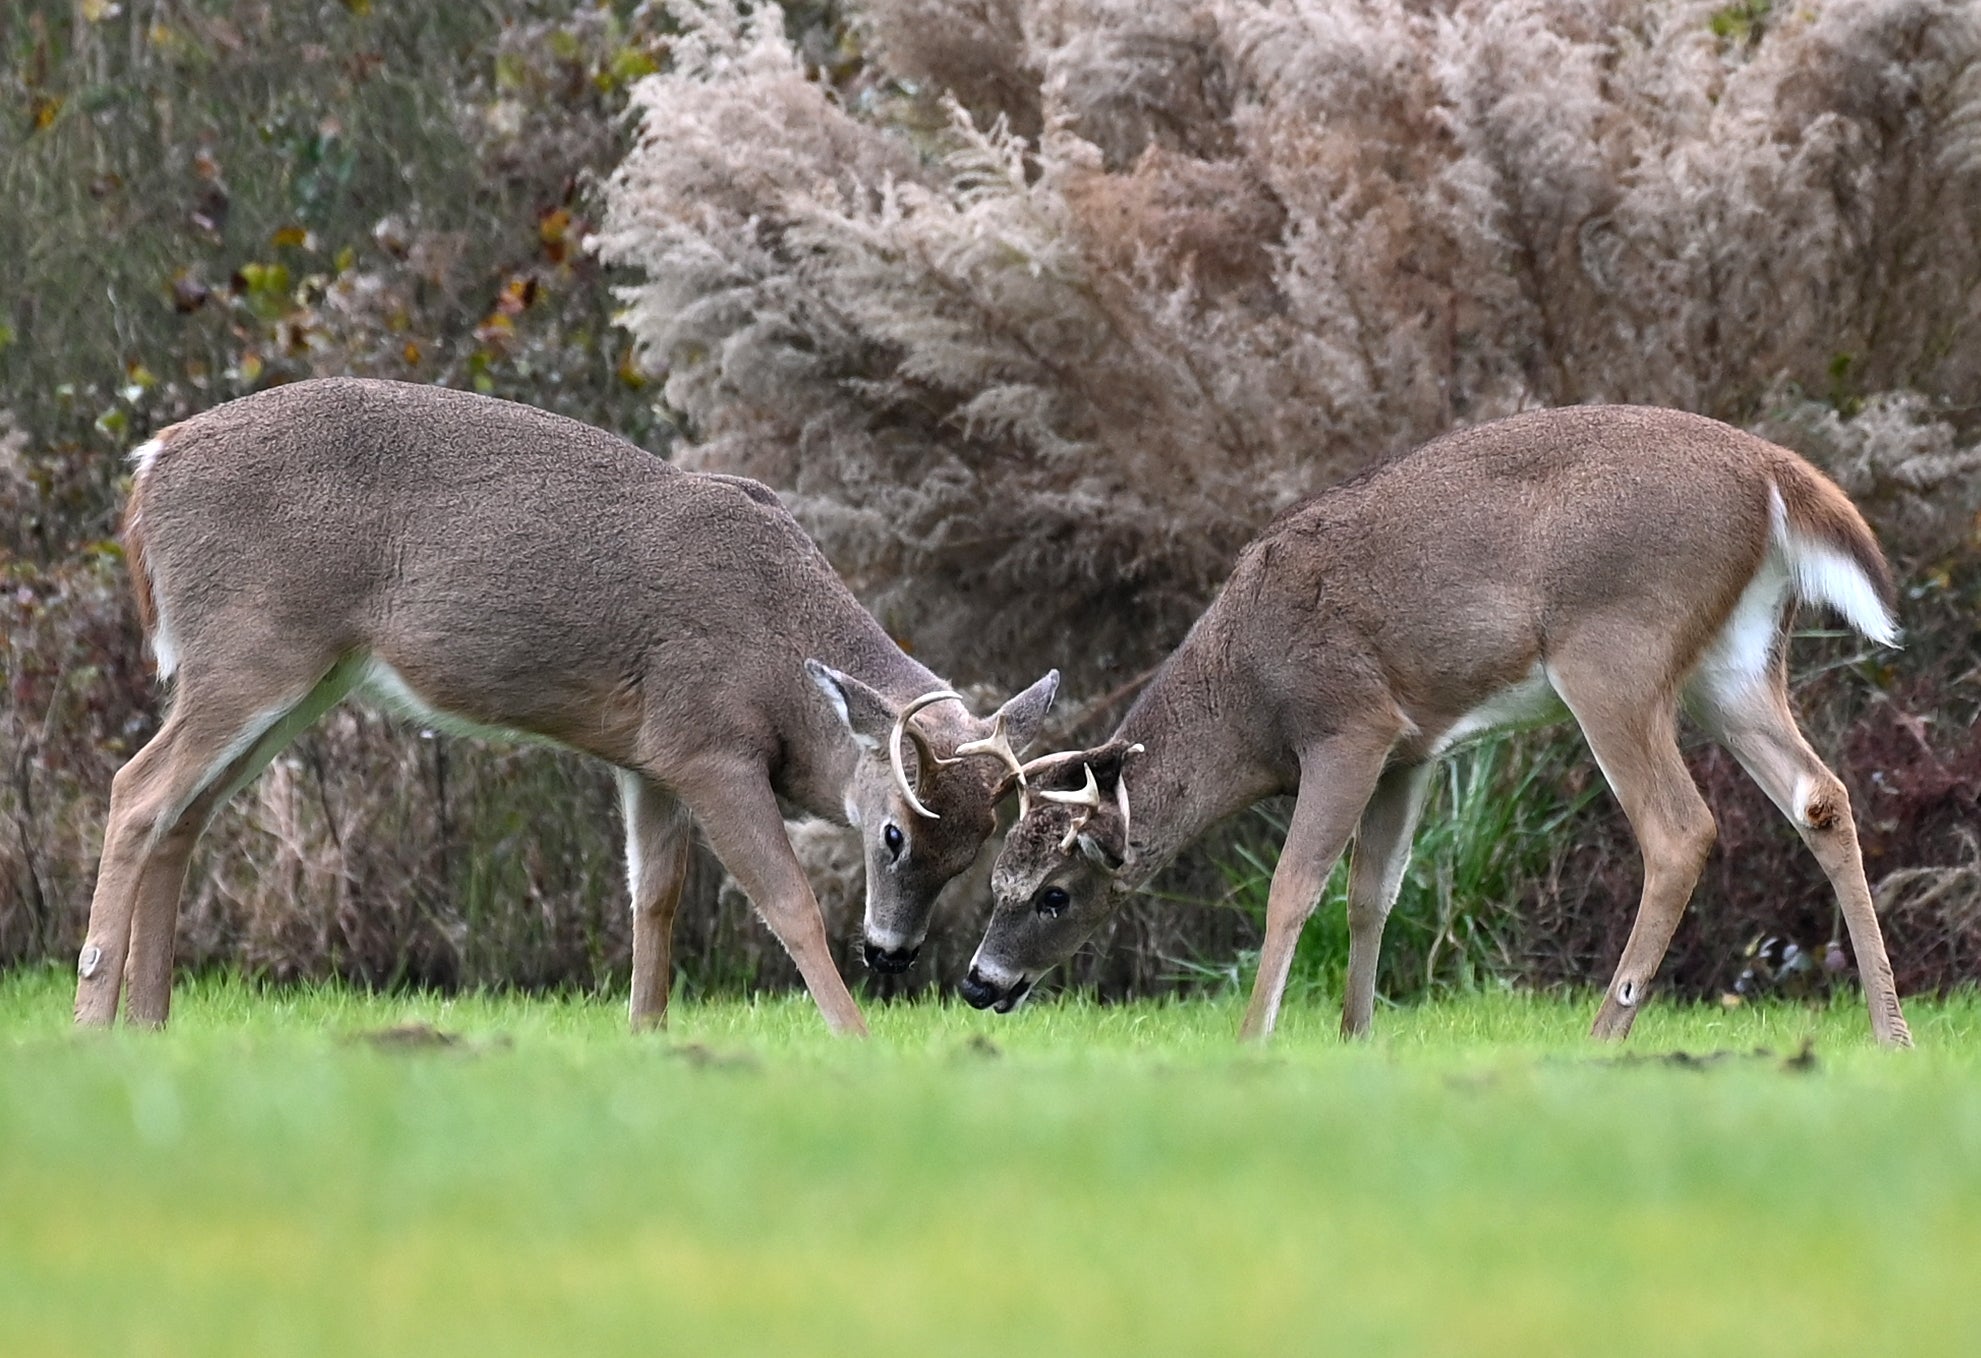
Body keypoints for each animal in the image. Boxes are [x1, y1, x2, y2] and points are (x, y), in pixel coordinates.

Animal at [81, 378, 1053, 1037]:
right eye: (893, 834)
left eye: (974, 850)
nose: (893, 952)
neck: (781, 655)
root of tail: (152, 463)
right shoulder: (708, 743)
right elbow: (788, 903)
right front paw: (853, 1040)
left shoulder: (651, 758)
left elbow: (653, 900)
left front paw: (647, 1036)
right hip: (251, 648)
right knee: (137, 790)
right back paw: (94, 1020)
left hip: (298, 676)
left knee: (184, 814)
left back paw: (151, 1023)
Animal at [950, 409, 1909, 1045]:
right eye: (996, 880)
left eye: (1053, 894)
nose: (977, 983)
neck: (1246, 694)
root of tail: (1772, 472)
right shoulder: (1412, 749)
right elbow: (1372, 891)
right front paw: (1355, 1037)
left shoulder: (1349, 721)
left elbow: (1294, 886)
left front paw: (1255, 1038)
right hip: (1733, 664)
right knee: (1819, 795)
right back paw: (1887, 1030)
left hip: (1614, 650)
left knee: (1679, 829)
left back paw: (1603, 1034)